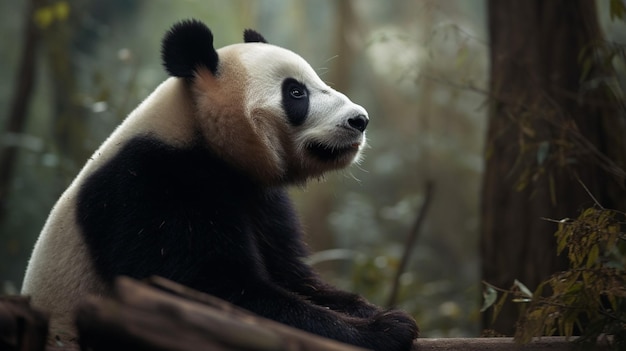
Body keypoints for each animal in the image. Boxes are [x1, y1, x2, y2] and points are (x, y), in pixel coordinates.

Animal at [22, 20, 416, 351]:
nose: (359, 120)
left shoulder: (258, 197)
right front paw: (385, 328)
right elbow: (210, 292)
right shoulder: (150, 186)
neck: (197, 131)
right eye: (295, 93)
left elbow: (291, 273)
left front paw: (368, 310)